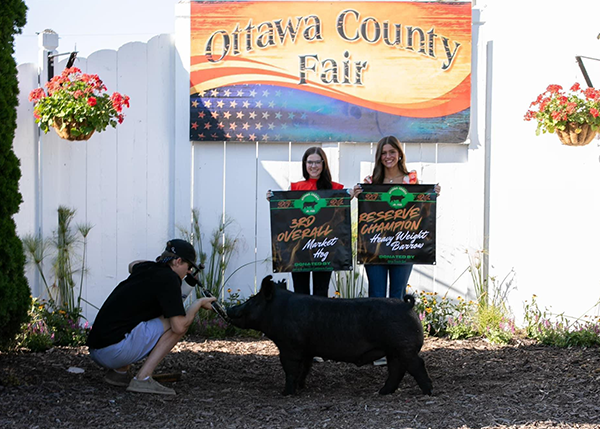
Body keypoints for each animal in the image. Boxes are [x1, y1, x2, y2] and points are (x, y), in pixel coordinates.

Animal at [226, 274, 432, 394]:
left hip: (404, 348)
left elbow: (290, 369)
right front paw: (300, 387)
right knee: (396, 370)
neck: (279, 310)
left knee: (416, 365)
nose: (229, 309)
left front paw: (286, 393)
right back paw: (383, 392)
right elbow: (304, 368)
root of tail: (407, 306)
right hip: (394, 351)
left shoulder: (289, 346)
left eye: (253, 301)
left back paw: (428, 391)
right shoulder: (306, 350)